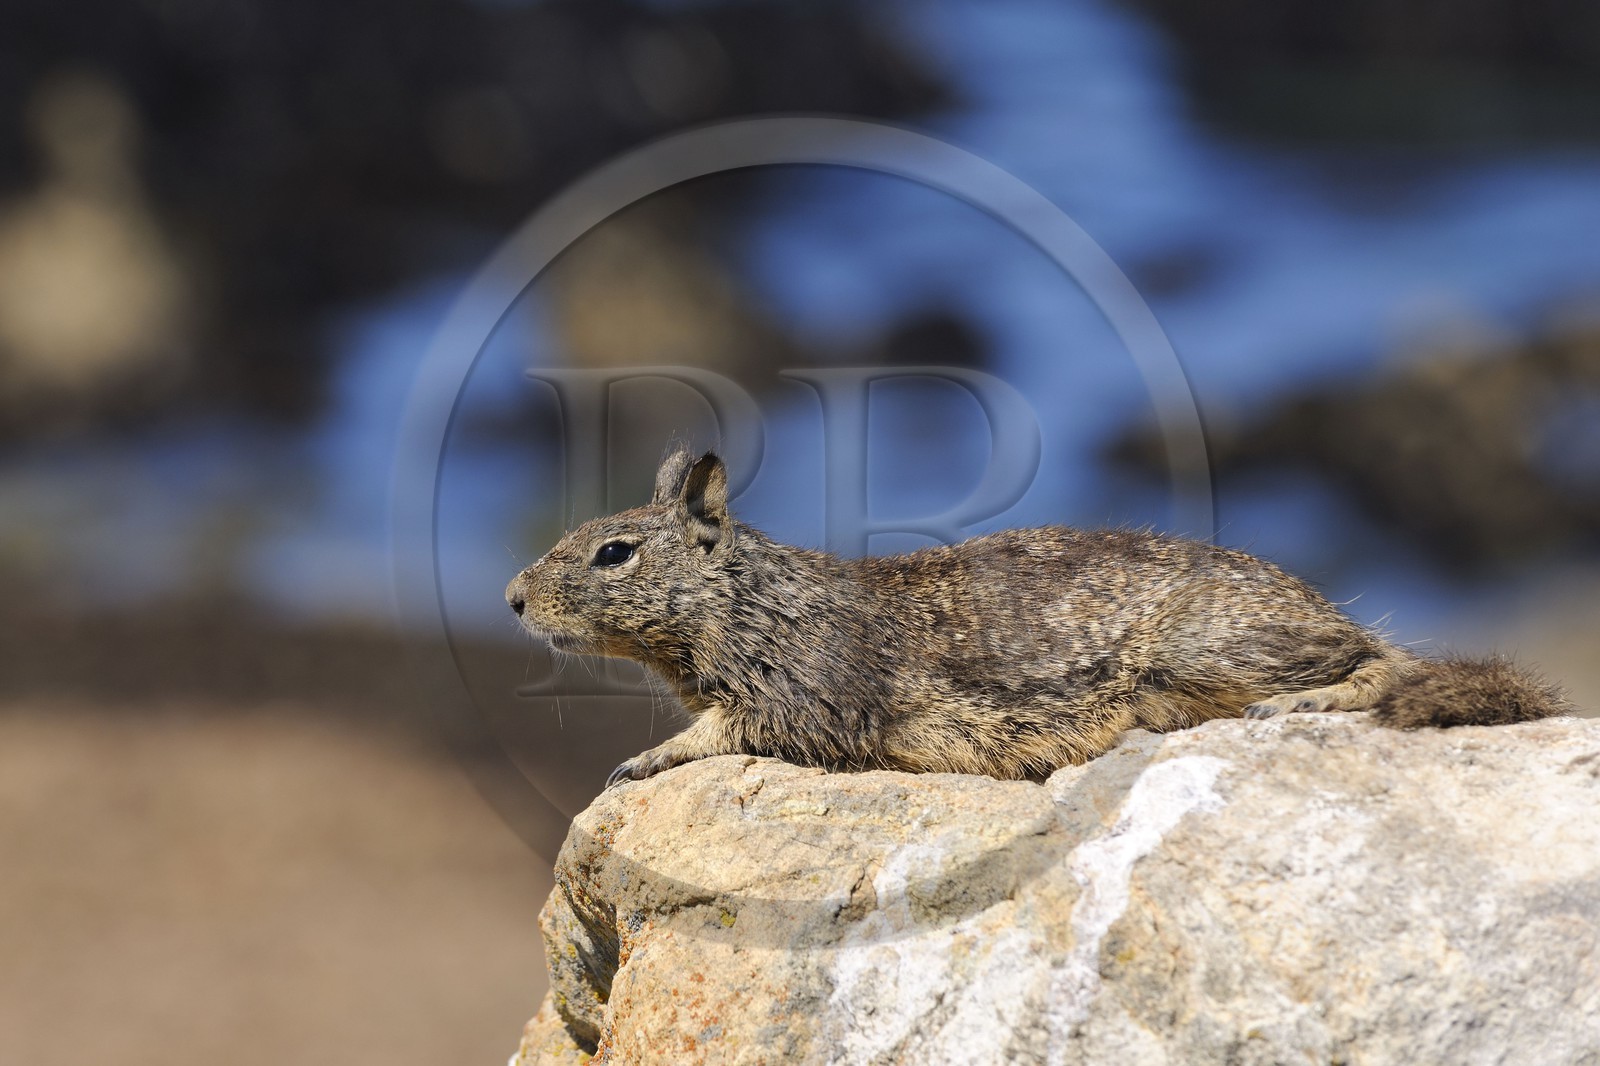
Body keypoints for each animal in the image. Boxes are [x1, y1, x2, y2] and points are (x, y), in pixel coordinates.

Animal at [505, 448, 1573, 786]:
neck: (749, 599)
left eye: (612, 552)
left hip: (1202, 651)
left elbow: (734, 729)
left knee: (1375, 666)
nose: (511, 598)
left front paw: (645, 756)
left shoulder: (805, 694)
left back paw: (1295, 706)